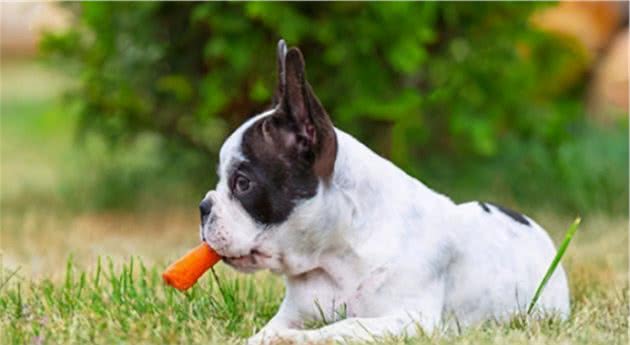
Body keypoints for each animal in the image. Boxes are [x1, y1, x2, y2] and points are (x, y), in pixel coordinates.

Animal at [200, 39, 572, 342]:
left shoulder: (409, 320)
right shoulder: (293, 313)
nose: (203, 206)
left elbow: (343, 326)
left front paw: (298, 339)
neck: (334, 257)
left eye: (243, 183)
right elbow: (265, 332)